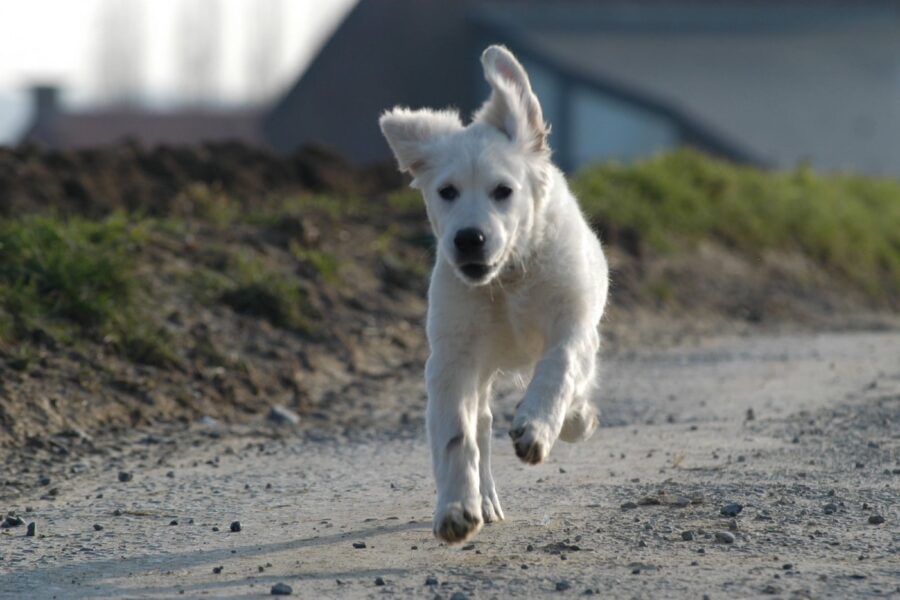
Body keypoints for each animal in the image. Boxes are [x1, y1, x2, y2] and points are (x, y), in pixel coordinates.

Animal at [376, 45, 608, 544]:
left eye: (504, 191)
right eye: (447, 191)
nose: (468, 239)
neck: (509, 280)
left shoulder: (575, 325)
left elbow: (560, 370)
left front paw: (540, 427)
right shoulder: (453, 358)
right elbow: (456, 435)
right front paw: (456, 509)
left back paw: (573, 420)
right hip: (480, 371)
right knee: (480, 425)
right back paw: (484, 500)